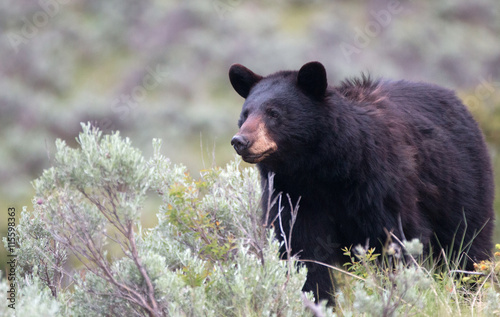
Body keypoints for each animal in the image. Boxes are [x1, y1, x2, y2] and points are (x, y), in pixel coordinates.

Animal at [229, 61, 494, 302]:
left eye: (274, 113)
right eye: (245, 114)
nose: (240, 141)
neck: (321, 170)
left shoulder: (379, 183)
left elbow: (395, 239)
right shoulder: (292, 195)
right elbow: (301, 251)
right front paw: (315, 300)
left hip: (462, 184)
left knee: (467, 244)